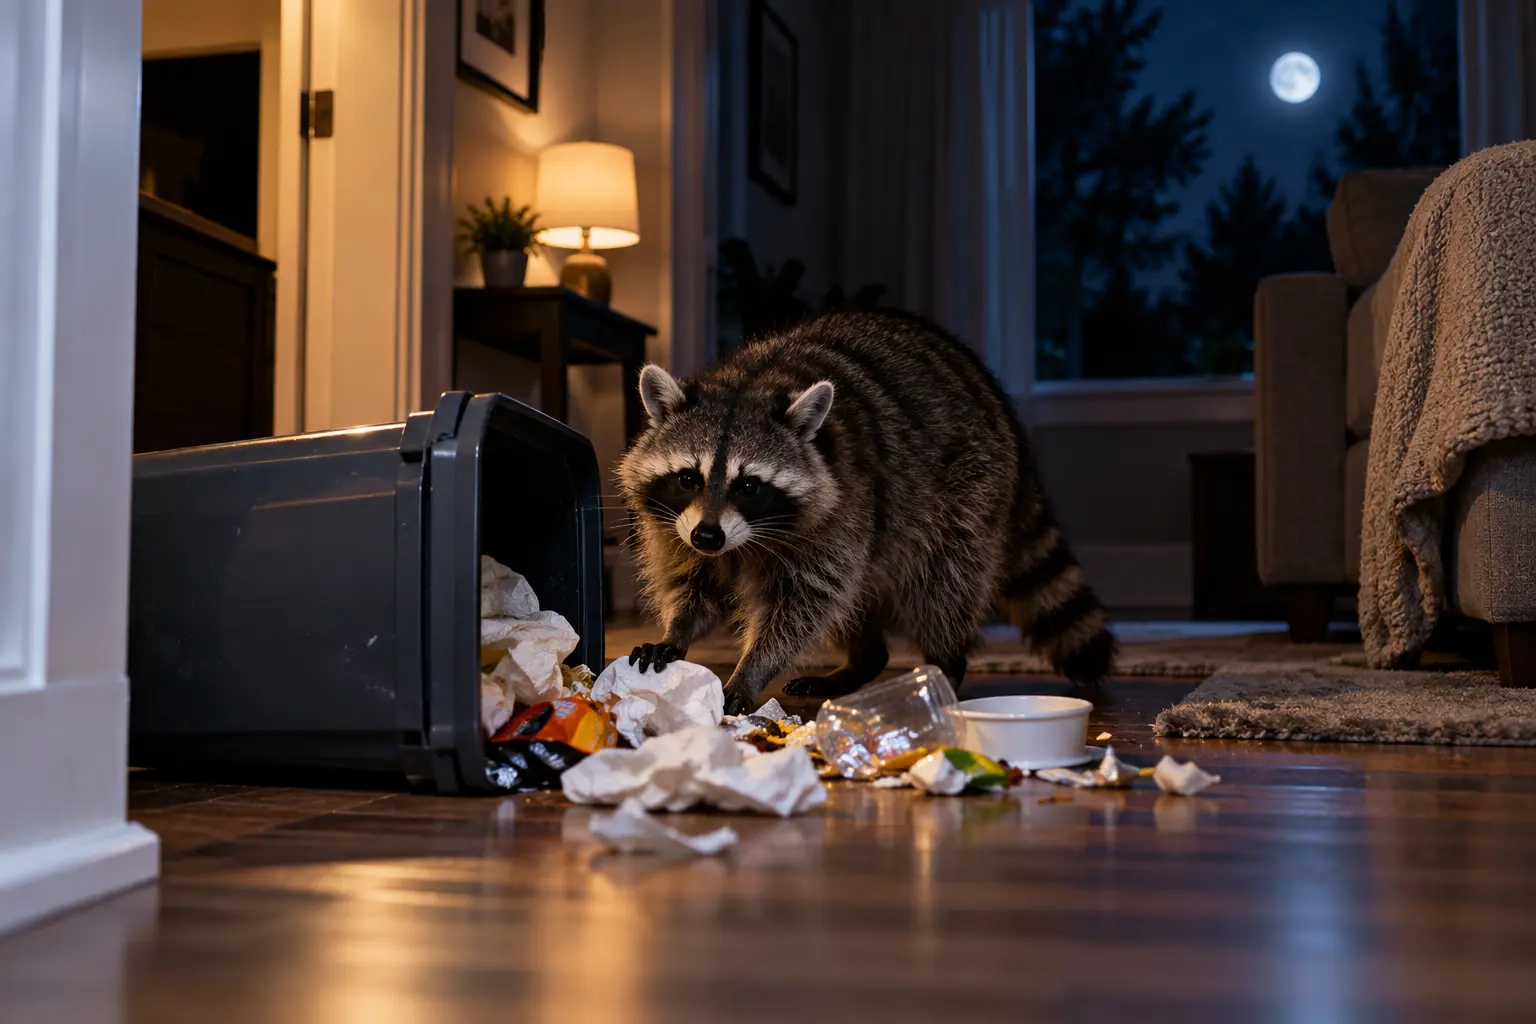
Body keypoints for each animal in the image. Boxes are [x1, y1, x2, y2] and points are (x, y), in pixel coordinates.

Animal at [617, 309, 1115, 714]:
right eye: (688, 478)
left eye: (749, 486)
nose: (708, 537)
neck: (750, 382)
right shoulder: (676, 524)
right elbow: (692, 581)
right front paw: (677, 630)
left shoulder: (841, 510)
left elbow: (802, 603)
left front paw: (752, 668)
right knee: (856, 599)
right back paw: (864, 659)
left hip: (969, 489)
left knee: (943, 584)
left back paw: (945, 662)